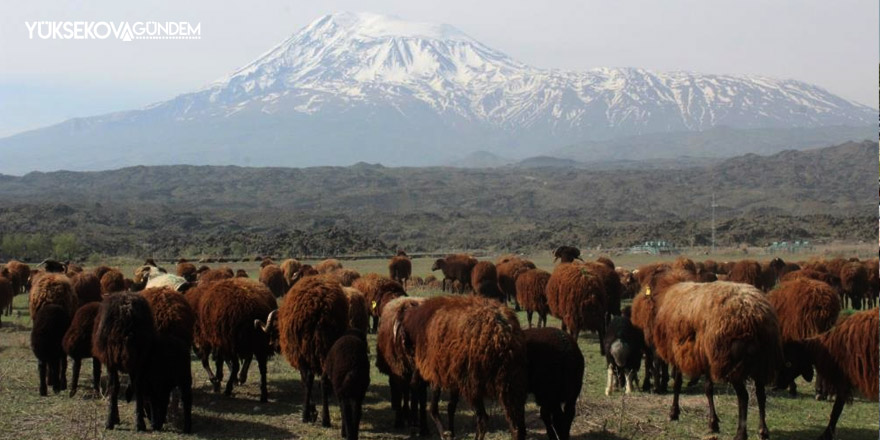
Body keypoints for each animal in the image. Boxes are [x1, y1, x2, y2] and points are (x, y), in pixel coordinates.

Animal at [270, 276, 348, 422]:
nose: (272, 344)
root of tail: (322, 305)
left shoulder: (299, 357)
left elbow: (305, 381)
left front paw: (311, 410)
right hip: (327, 347)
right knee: (324, 380)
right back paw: (325, 420)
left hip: (307, 349)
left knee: (310, 379)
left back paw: (306, 415)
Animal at [400, 296, 528, 440]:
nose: (413, 382)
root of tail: (503, 332)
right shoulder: (453, 375)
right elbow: (450, 407)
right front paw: (451, 433)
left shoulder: (437, 372)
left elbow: (434, 409)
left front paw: (445, 434)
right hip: (509, 384)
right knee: (516, 425)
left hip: (474, 383)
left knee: (483, 419)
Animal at [648, 282, 780, 440]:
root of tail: (755, 315)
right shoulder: (704, 359)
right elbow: (707, 388)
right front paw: (713, 422)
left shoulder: (680, 353)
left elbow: (681, 384)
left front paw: (676, 413)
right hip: (761, 363)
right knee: (761, 394)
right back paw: (763, 431)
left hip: (733, 364)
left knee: (744, 396)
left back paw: (740, 433)